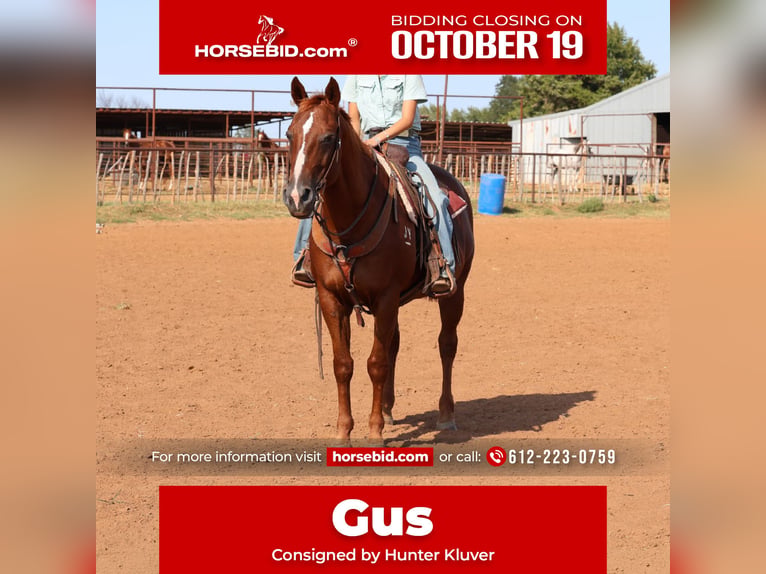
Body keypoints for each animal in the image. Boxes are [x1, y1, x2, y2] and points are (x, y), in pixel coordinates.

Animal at [283, 77, 475, 444]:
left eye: (327, 137)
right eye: (289, 134)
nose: (298, 197)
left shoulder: (385, 297)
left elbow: (376, 363)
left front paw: (374, 433)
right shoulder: (331, 298)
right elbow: (343, 364)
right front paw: (344, 430)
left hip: (456, 290)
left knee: (447, 344)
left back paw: (446, 414)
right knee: (395, 344)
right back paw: (387, 408)